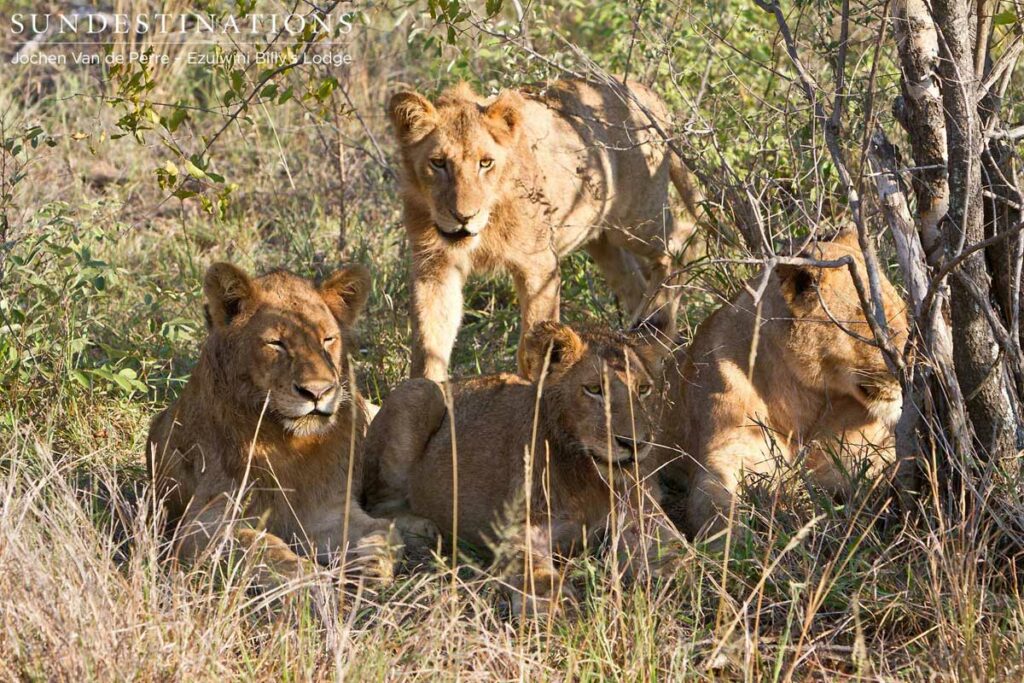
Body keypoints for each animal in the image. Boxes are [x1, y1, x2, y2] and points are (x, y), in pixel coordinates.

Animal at [147, 262, 400, 586]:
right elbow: (262, 546)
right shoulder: (200, 525)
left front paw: (373, 562)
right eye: (276, 343)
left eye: (327, 340)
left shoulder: (325, 511)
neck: (290, 444)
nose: (317, 392)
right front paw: (311, 582)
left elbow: (381, 529)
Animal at [361, 319, 680, 613]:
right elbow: (537, 575)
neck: (591, 479)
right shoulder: (518, 530)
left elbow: (676, 553)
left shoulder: (642, 518)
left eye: (643, 390)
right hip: (420, 392)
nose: (634, 443)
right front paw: (556, 611)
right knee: (378, 505)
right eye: (593, 389)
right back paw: (426, 529)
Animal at [388, 78, 704, 381]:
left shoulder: (539, 264)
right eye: (438, 163)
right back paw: (640, 336)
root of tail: (643, 91)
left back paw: (659, 327)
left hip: (635, 219)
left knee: (683, 241)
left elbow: (534, 344)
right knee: (635, 282)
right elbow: (429, 343)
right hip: (603, 240)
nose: (464, 216)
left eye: (485, 163)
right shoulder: (435, 269)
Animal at [656, 230, 909, 539]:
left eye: (905, 313)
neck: (801, 398)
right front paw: (734, 543)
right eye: (874, 323)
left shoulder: (853, 460)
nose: (915, 364)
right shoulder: (724, 454)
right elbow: (715, 506)